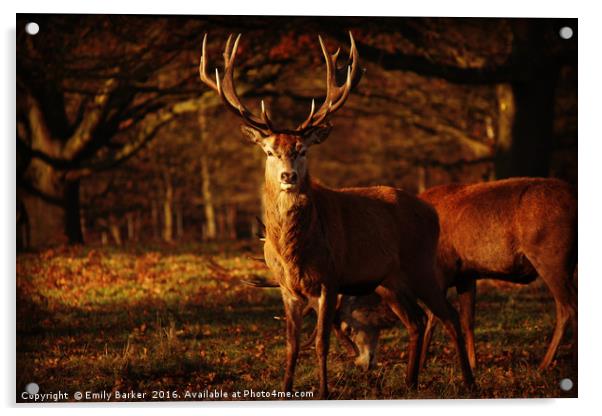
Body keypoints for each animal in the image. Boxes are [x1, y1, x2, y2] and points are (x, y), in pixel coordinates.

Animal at [198, 31, 474, 396]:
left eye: (302, 150)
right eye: (270, 151)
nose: (289, 176)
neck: (295, 253)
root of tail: (430, 211)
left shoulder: (330, 279)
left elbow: (321, 342)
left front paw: (323, 391)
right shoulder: (287, 288)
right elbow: (291, 345)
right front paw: (286, 389)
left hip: (421, 265)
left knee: (449, 315)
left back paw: (469, 381)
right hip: (389, 280)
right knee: (415, 320)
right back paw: (410, 382)